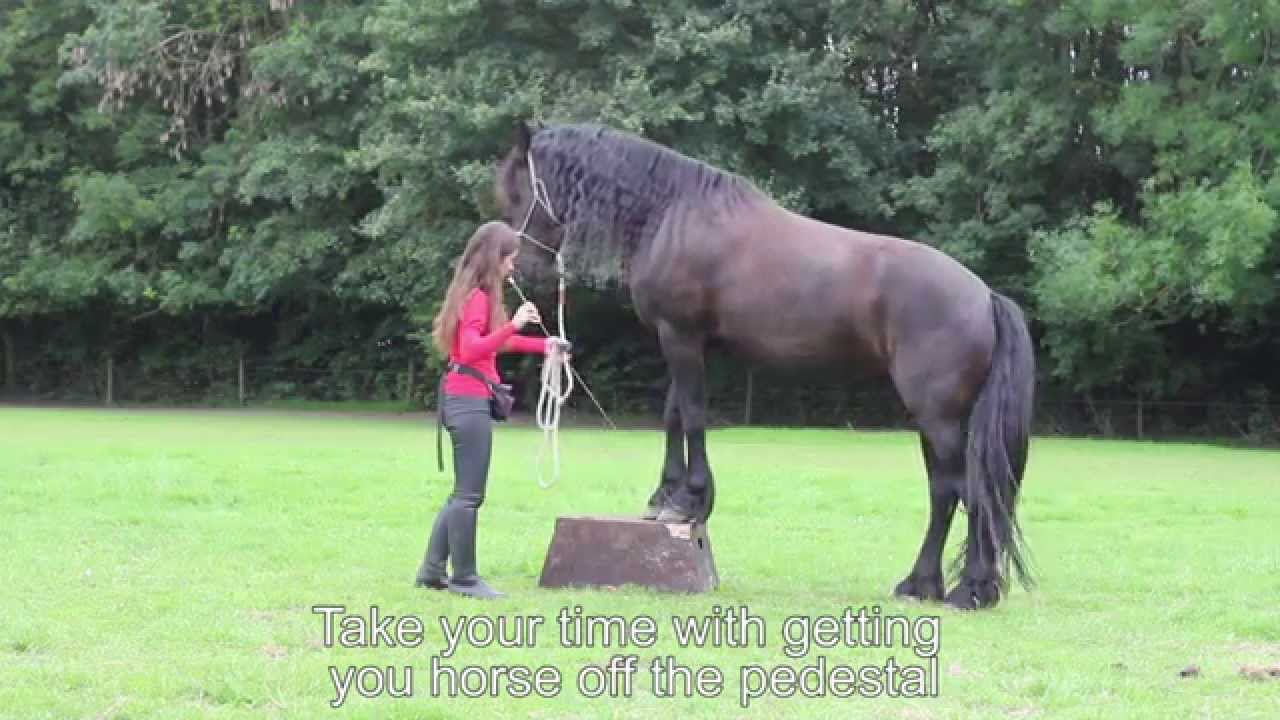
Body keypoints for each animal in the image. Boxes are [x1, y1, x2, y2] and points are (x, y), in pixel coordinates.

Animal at [494, 121, 1036, 610]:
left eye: (518, 191)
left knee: (970, 492)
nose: (524, 268)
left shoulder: (681, 337)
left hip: (937, 416)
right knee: (945, 492)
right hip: (934, 422)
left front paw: (690, 501)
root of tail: (985, 296)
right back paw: (921, 585)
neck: (672, 214)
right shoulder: (687, 342)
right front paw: (665, 497)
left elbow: (693, 417)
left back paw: (970, 591)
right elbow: (674, 415)